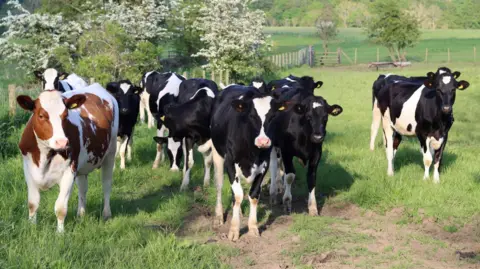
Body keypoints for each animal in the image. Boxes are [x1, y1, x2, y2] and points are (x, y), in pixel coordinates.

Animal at [17, 83, 118, 230]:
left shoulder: (69, 171)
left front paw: (60, 233)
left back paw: (106, 214)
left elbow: (60, 208)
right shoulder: (29, 170)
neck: (46, 155)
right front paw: (32, 228)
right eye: (41, 115)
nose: (62, 142)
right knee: (83, 188)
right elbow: (32, 203)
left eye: (65, 115)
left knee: (106, 183)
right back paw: (81, 215)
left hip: (110, 153)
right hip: (82, 166)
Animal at [211, 84, 284, 241]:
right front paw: (234, 229)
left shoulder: (264, 164)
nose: (263, 141)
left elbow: (254, 195)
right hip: (217, 154)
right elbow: (238, 195)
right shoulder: (230, 162)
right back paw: (219, 216)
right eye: (252, 116)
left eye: (272, 116)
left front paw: (253, 227)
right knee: (219, 185)